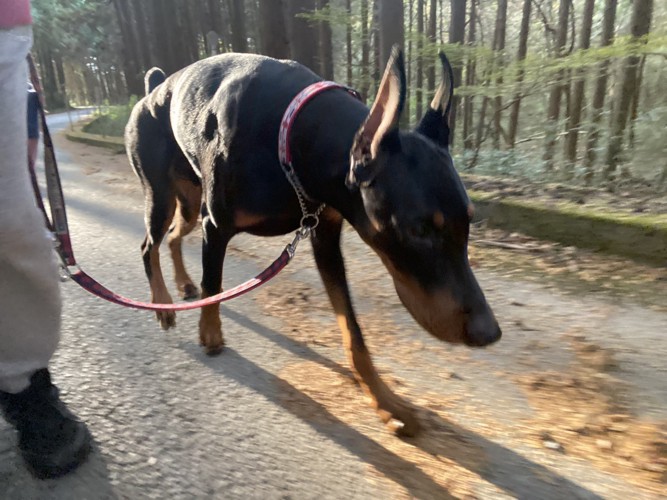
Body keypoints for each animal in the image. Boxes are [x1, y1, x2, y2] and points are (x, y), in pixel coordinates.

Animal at [125, 48, 500, 436]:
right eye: (420, 230)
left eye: (469, 220)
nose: (488, 332)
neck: (295, 135)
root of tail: (154, 88)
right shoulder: (215, 226)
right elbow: (213, 283)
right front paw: (210, 333)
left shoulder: (324, 234)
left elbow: (353, 332)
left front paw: (386, 401)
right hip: (162, 195)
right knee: (149, 245)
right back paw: (163, 304)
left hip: (187, 202)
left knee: (173, 237)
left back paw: (184, 284)